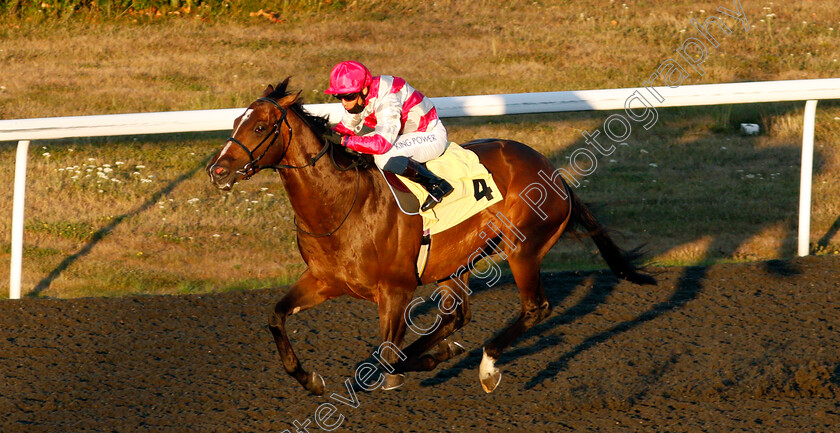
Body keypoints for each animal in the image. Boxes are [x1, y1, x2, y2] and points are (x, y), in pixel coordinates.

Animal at [205, 78, 656, 394]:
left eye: (260, 126)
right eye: (235, 121)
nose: (217, 170)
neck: (342, 204)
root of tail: (554, 172)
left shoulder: (395, 291)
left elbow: (386, 358)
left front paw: (415, 363)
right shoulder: (323, 280)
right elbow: (276, 316)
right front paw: (310, 379)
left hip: (522, 248)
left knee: (535, 308)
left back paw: (486, 366)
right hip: (454, 264)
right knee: (458, 315)